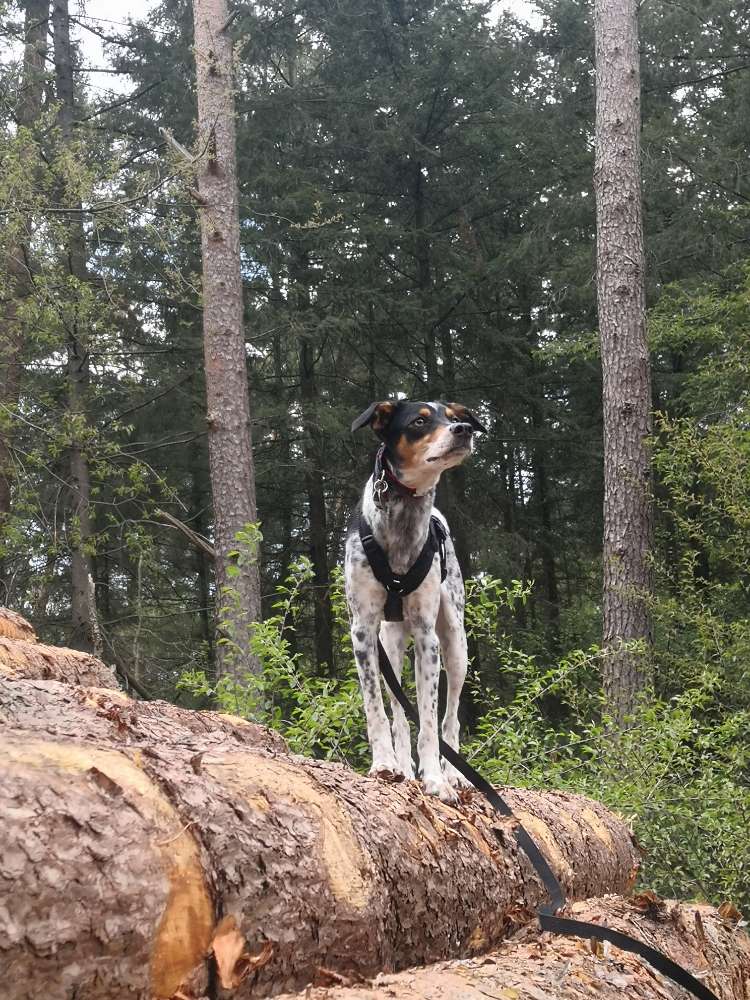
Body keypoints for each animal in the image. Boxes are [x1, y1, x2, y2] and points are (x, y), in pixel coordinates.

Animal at [346, 398, 488, 804]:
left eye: (453, 417)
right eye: (420, 421)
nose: (463, 430)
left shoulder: (428, 638)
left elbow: (428, 719)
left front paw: (436, 781)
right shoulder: (363, 632)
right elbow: (377, 709)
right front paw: (384, 763)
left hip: (455, 644)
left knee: (450, 717)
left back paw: (453, 774)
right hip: (390, 646)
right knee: (397, 712)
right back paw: (404, 768)